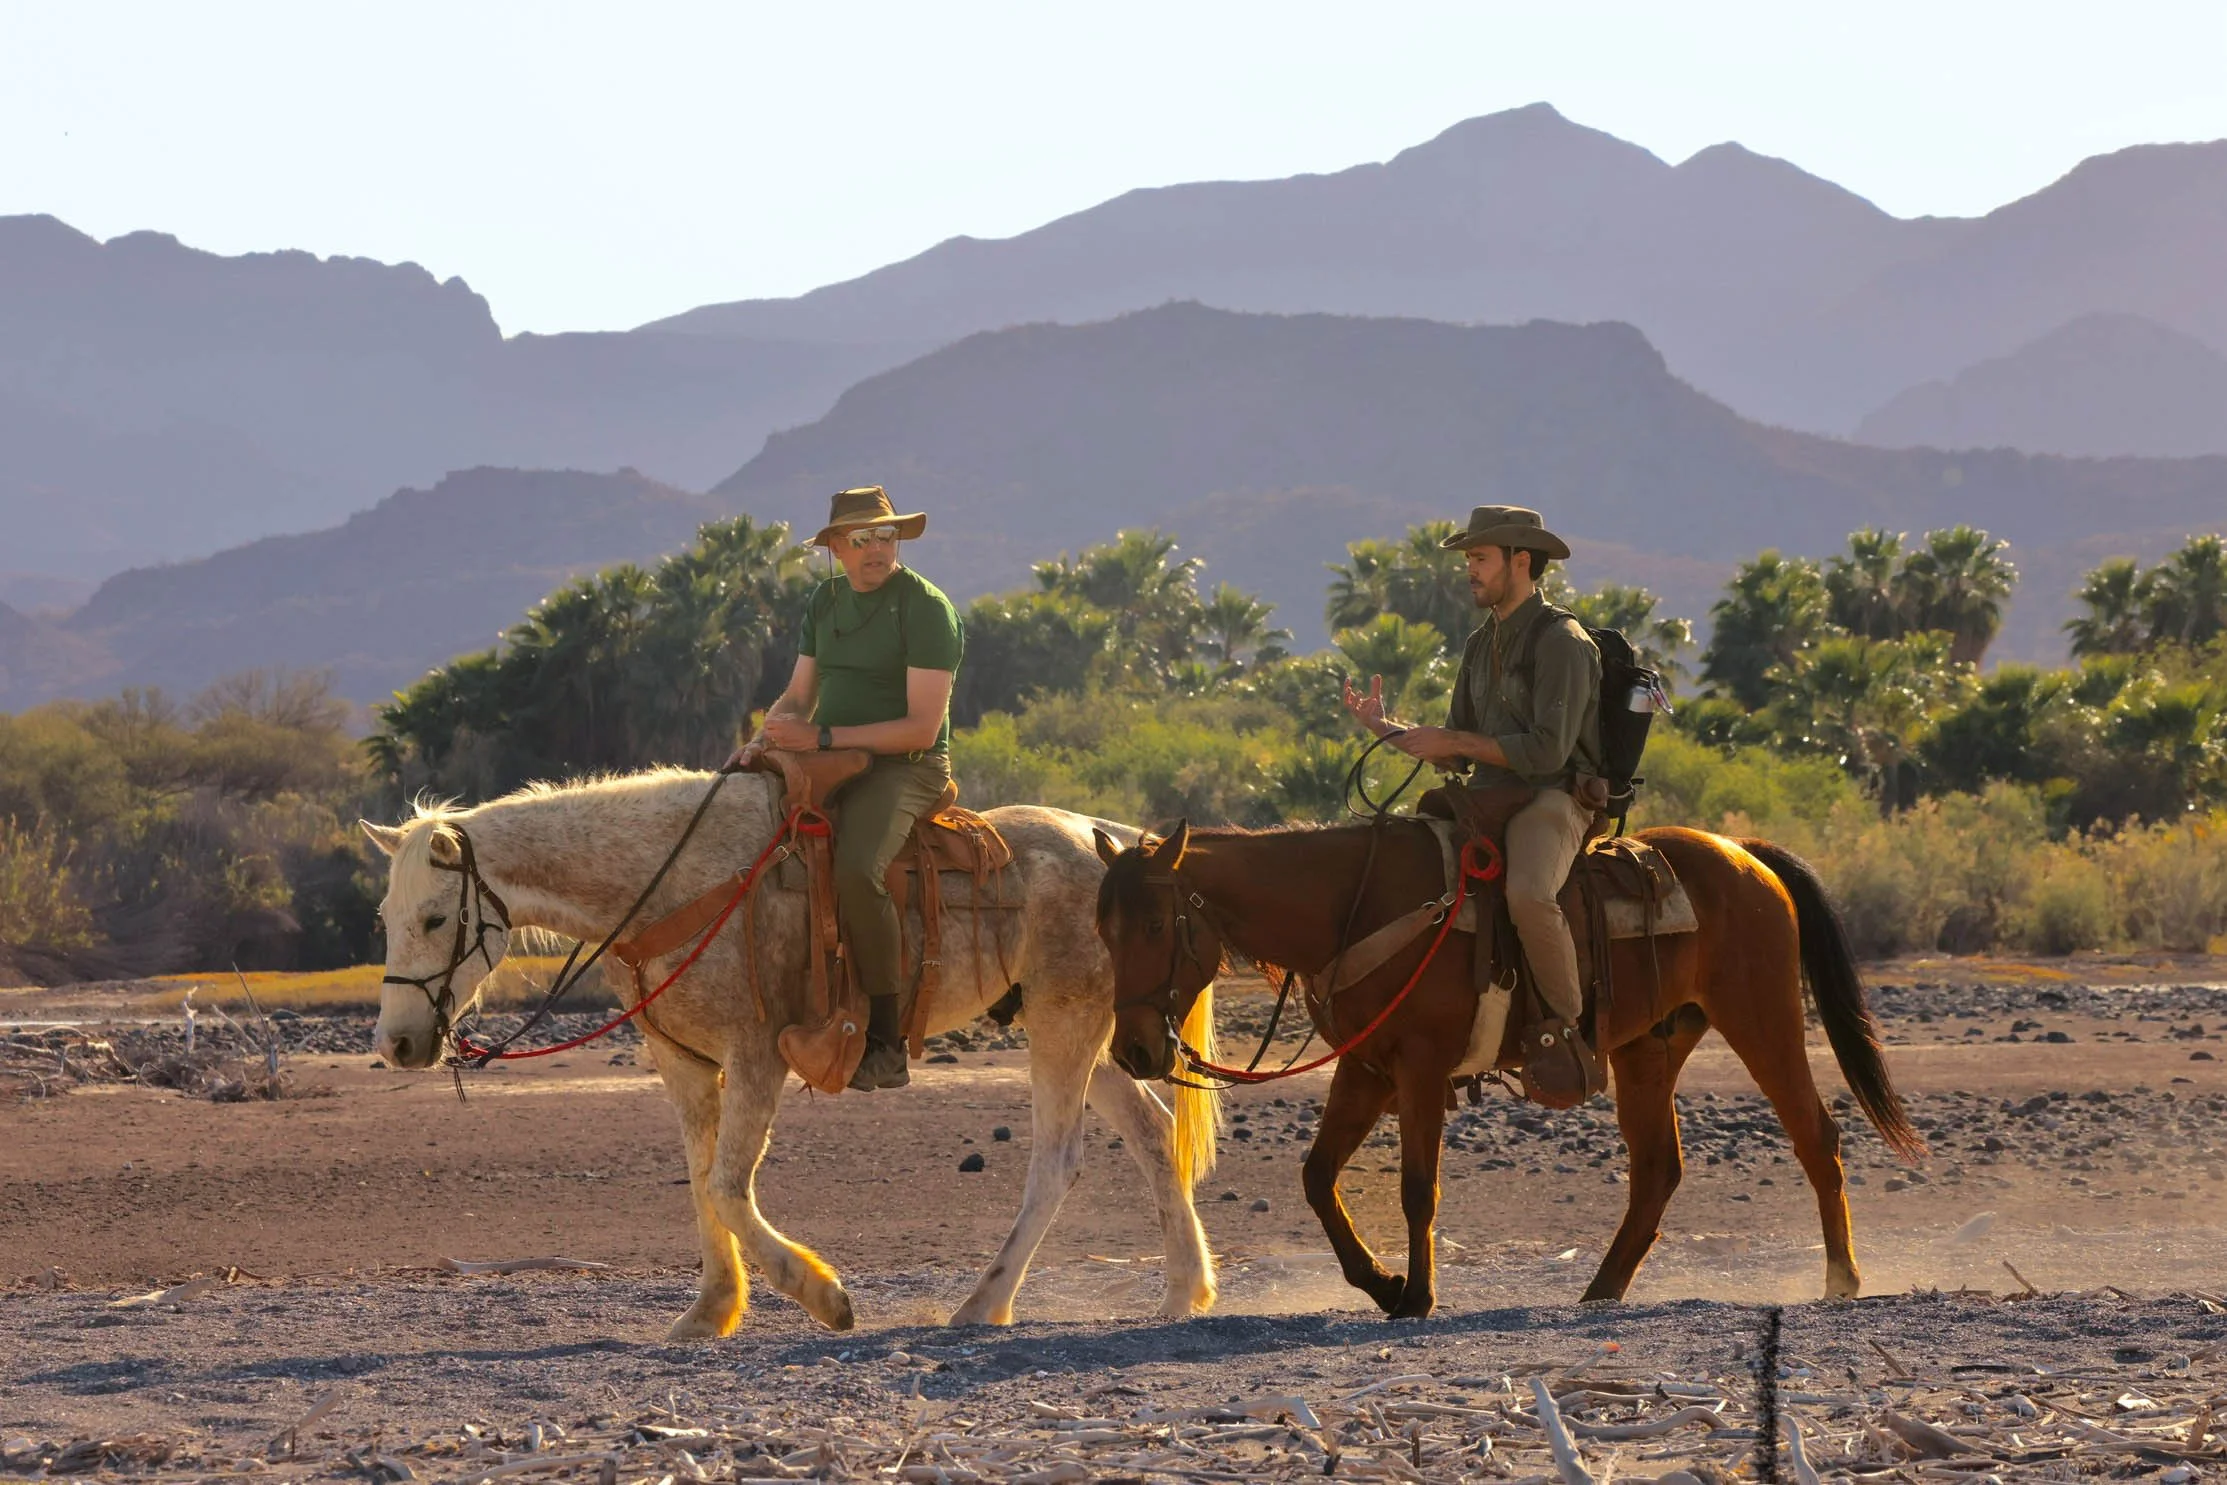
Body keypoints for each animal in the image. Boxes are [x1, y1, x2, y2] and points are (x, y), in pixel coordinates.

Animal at [360, 766, 1223, 1339]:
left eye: (434, 918)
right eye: (384, 917)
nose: (397, 1042)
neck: (674, 884)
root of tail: (1122, 847)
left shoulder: (756, 1057)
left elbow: (729, 1186)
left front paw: (822, 1294)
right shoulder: (684, 1065)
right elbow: (704, 1185)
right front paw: (709, 1310)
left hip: (1062, 1024)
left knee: (1056, 1159)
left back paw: (982, 1303)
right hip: (1096, 1033)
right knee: (1151, 1132)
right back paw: (1183, 1290)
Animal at [1092, 817, 1925, 1319]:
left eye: (1156, 922)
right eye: (1103, 928)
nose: (1132, 1050)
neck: (1351, 907)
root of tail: (1745, 852)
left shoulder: (1419, 1067)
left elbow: (1417, 1188)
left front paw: (1417, 1293)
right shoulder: (1365, 1068)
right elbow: (1316, 1177)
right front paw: (1382, 1283)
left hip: (1761, 1016)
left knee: (1815, 1136)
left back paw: (1841, 1279)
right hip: (1648, 1048)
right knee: (1657, 1168)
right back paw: (1599, 1290)